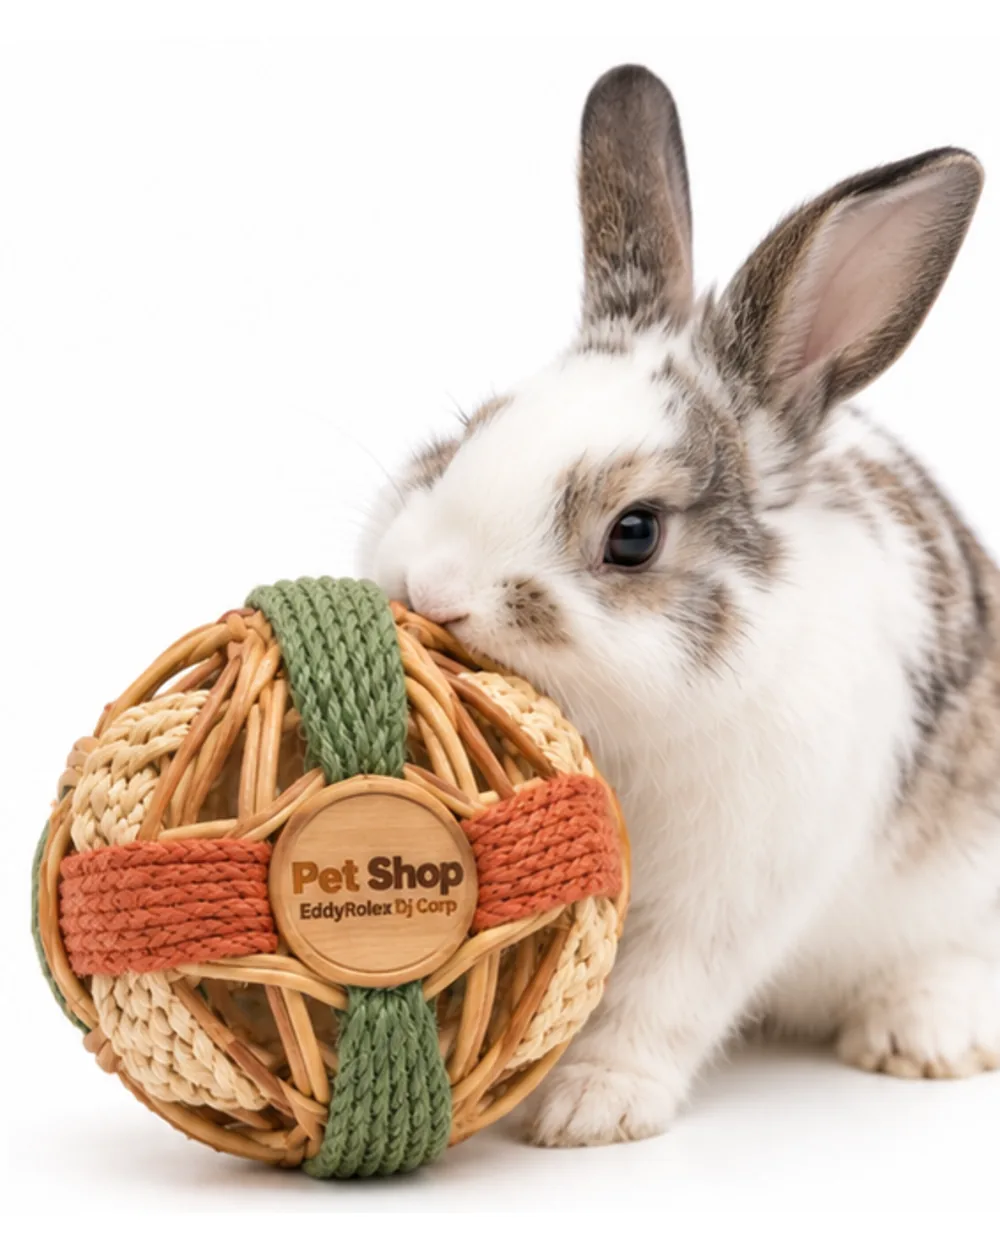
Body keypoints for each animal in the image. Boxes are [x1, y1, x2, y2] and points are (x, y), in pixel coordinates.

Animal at [360, 63, 1000, 1147]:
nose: (432, 590)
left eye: (634, 533)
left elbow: (662, 995)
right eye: (472, 429)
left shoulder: (731, 887)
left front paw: (589, 1105)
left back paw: (920, 1037)